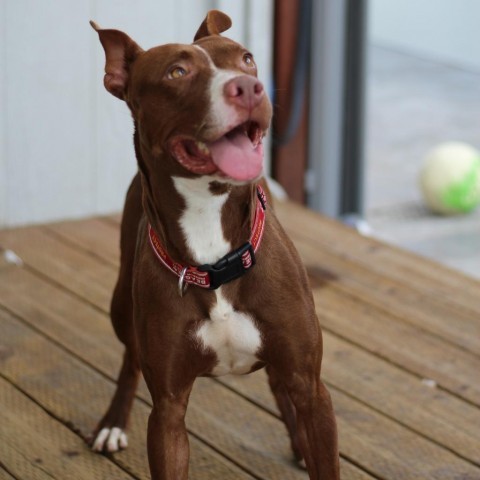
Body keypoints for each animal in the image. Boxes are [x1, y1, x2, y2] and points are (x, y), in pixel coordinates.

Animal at [89, 9, 338, 478]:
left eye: (247, 59)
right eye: (177, 72)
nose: (249, 88)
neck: (215, 251)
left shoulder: (313, 389)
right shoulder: (168, 411)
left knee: (278, 384)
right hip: (121, 305)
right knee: (130, 358)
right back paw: (112, 422)